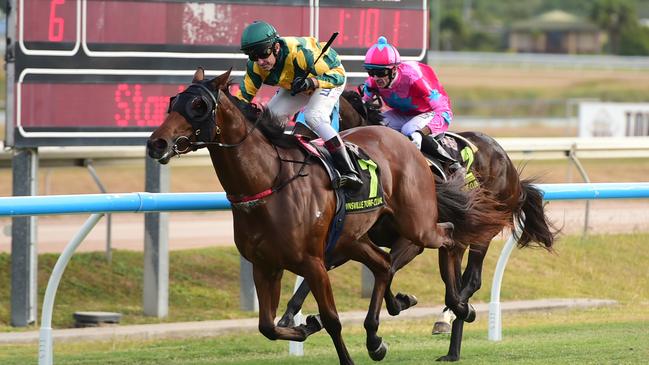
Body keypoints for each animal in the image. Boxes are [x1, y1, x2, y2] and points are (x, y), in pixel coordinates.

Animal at [148, 67, 512, 362]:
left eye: (199, 106)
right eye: (172, 102)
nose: (157, 143)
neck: (269, 181)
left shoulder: (314, 260)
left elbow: (334, 319)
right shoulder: (268, 264)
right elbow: (268, 325)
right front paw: (304, 325)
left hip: (419, 226)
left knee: (450, 240)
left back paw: (456, 310)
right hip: (357, 238)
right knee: (384, 264)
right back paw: (388, 333)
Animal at [278, 89, 556, 360]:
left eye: (316, 119)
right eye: (296, 116)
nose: (294, 145)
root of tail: (505, 159)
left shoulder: (411, 241)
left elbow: (388, 269)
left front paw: (397, 308)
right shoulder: (350, 239)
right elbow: (323, 273)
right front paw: (293, 319)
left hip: (482, 230)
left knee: (472, 279)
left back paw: (449, 318)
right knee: (456, 275)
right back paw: (452, 349)